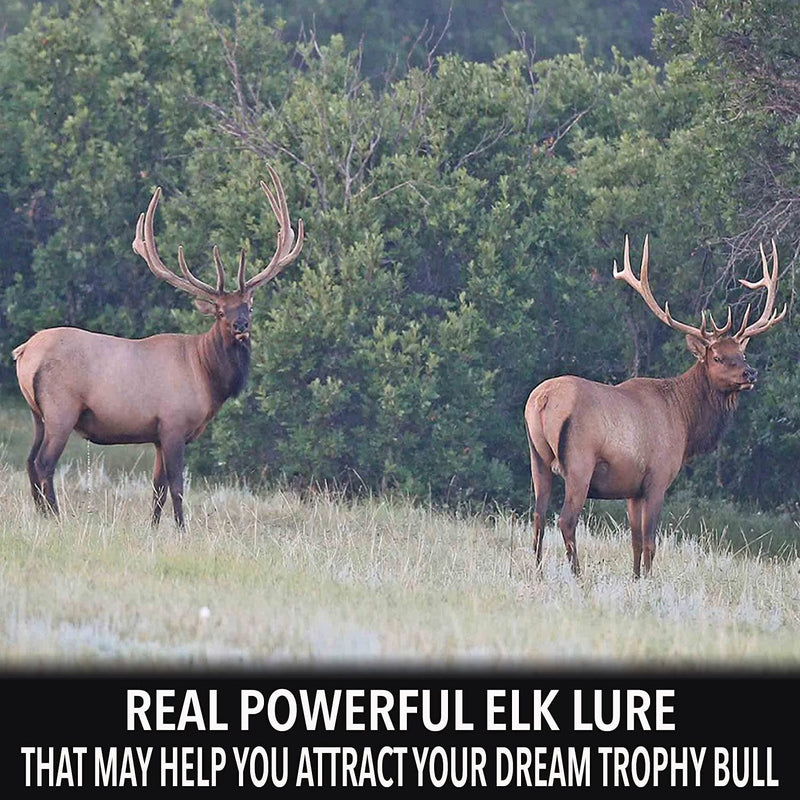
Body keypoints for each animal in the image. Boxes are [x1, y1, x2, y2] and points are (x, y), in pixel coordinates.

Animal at [13, 165, 304, 528]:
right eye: (221, 311)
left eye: (248, 305)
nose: (241, 326)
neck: (206, 376)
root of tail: (23, 352)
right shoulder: (174, 423)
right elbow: (177, 485)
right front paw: (181, 529)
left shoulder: (156, 435)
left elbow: (157, 488)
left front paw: (152, 528)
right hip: (60, 409)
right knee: (44, 464)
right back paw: (56, 517)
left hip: (37, 414)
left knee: (28, 461)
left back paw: (42, 516)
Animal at [524, 235, 786, 577]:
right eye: (717, 357)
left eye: (741, 353)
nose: (750, 374)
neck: (686, 423)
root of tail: (541, 400)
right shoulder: (658, 477)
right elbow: (650, 541)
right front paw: (649, 580)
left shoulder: (632, 488)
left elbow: (635, 541)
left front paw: (636, 578)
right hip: (579, 461)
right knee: (566, 520)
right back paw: (578, 576)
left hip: (537, 458)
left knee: (538, 517)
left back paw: (538, 571)